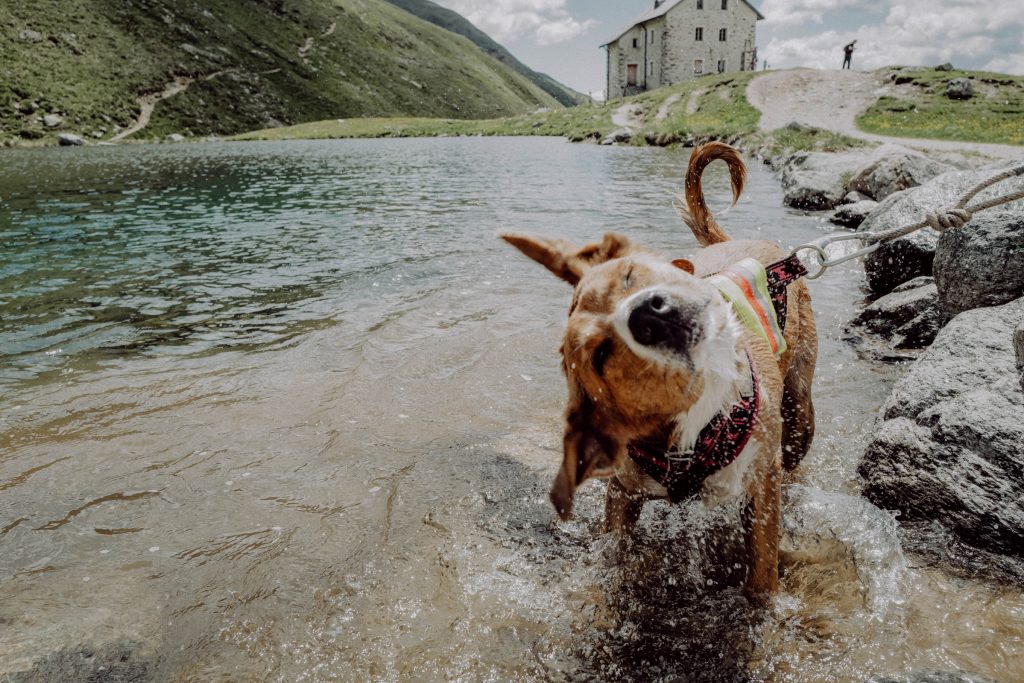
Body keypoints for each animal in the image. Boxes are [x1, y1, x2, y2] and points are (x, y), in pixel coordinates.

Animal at [501, 144, 815, 598]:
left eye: (629, 276)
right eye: (601, 352)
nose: (650, 312)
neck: (698, 428)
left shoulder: (761, 487)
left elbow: (761, 577)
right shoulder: (623, 493)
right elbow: (614, 553)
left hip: (799, 409)